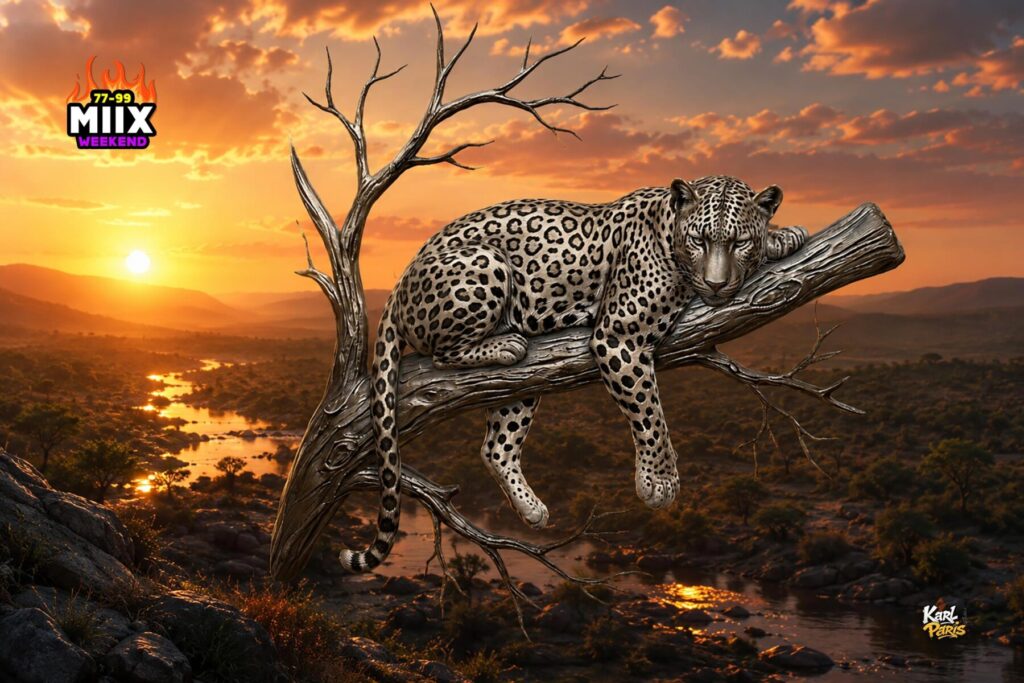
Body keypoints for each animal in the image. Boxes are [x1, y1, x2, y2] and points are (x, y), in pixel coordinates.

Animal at [339, 175, 808, 572]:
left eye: (740, 241)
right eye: (699, 239)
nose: (715, 285)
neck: (667, 227)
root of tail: (401, 281)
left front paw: (783, 236)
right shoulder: (620, 337)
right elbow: (651, 415)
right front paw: (658, 481)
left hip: (523, 386)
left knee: (496, 447)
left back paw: (531, 510)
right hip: (485, 264)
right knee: (440, 354)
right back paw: (502, 344)